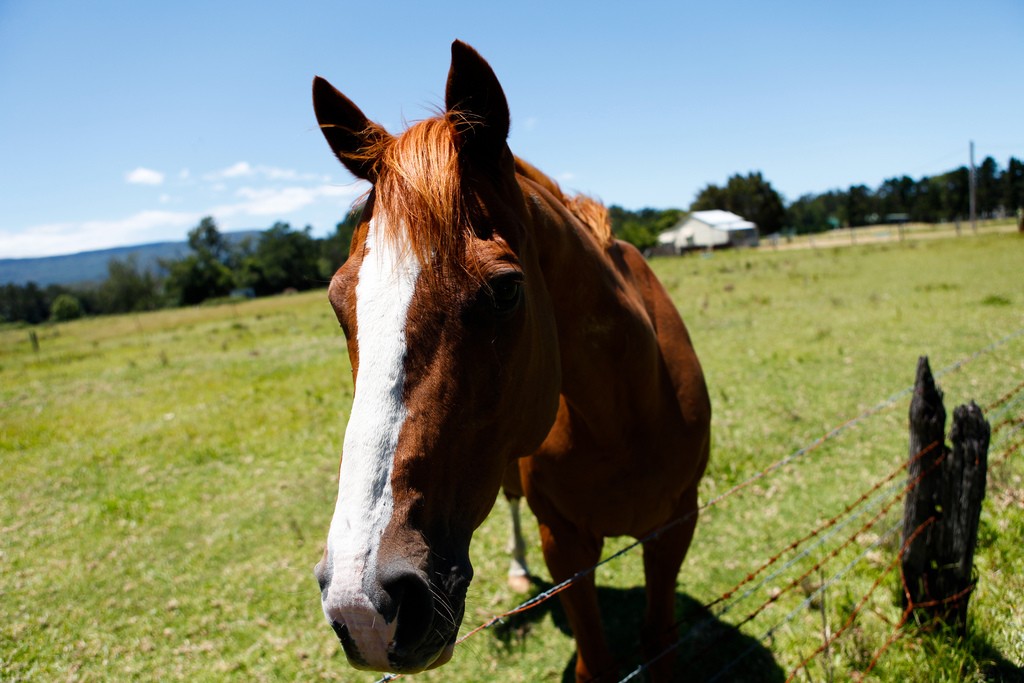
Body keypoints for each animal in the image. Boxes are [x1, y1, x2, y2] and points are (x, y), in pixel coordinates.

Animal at [313, 41, 712, 679]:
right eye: (336, 299)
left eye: (505, 290)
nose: (364, 606)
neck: (626, 416)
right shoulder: (565, 543)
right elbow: (597, 660)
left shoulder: (675, 526)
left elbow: (660, 639)